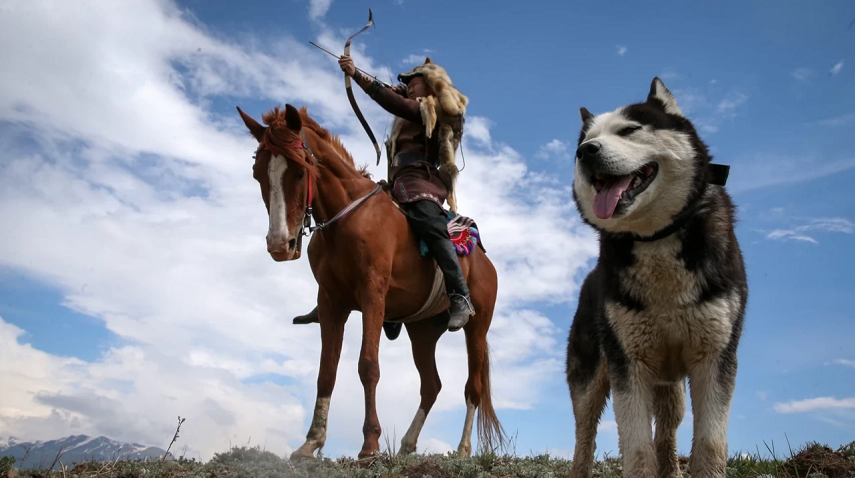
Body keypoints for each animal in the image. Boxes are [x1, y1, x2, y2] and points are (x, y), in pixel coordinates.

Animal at [234, 103, 504, 460]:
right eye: (258, 174)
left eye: (300, 171)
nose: (280, 244)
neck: (346, 217)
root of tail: (485, 262)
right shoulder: (331, 303)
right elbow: (326, 371)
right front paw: (311, 442)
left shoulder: (372, 294)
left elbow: (368, 366)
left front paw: (370, 446)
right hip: (422, 331)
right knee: (431, 386)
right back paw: (407, 445)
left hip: (477, 325)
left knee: (472, 387)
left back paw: (461, 450)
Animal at [568, 76, 748, 476]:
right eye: (583, 142)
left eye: (629, 130)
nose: (586, 152)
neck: (656, 238)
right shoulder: (628, 365)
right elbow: (636, 448)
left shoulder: (714, 357)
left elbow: (710, 444)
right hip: (590, 378)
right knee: (585, 434)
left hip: (671, 386)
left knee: (666, 431)